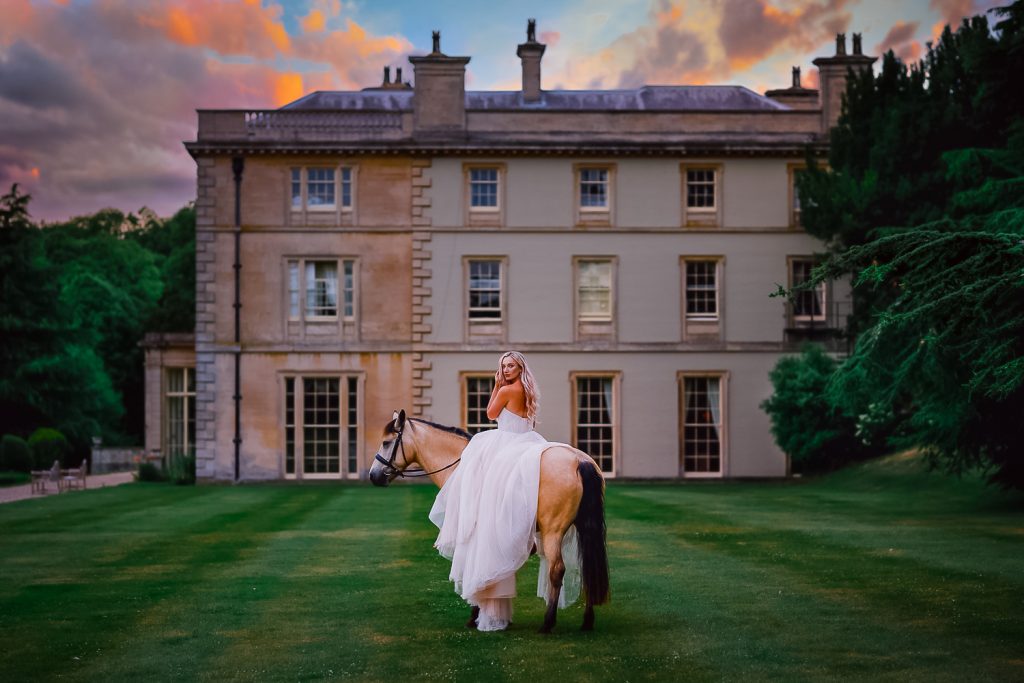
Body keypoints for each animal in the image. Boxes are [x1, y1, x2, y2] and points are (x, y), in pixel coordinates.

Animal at [368, 409, 606, 634]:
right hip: (583, 530)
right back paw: (587, 621)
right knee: (587, 569)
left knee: (557, 571)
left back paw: (548, 623)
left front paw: (477, 615)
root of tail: (579, 460)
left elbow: (475, 571)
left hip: (553, 532)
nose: (373, 475)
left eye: (386, 442)